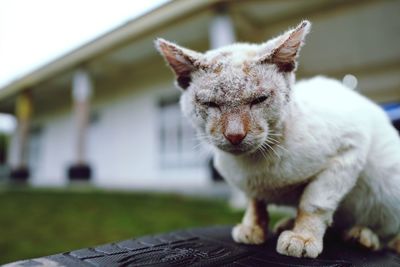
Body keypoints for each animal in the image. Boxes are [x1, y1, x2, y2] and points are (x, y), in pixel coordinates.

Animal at [155, 19, 400, 258]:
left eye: (259, 99)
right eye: (211, 104)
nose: (235, 134)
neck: (257, 165)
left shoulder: (348, 151)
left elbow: (313, 203)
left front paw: (302, 238)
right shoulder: (249, 185)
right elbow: (255, 202)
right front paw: (253, 228)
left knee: (383, 230)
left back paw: (366, 237)